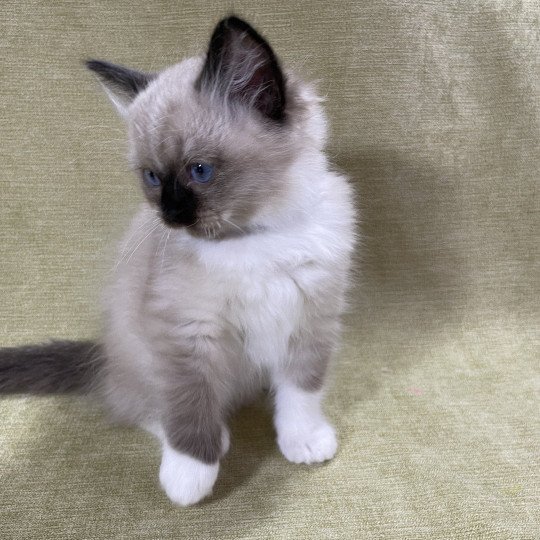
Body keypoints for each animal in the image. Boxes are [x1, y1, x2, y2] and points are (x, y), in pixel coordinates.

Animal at [0, 15, 356, 506]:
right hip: (141, 353)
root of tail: (101, 352)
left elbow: (301, 391)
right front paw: (190, 476)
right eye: (152, 177)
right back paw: (208, 439)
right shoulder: (187, 332)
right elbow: (189, 404)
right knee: (142, 404)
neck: (252, 238)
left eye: (199, 171)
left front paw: (302, 440)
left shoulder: (312, 317)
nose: (169, 215)